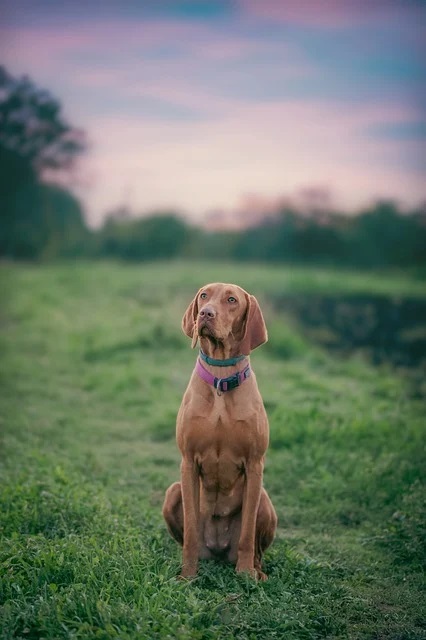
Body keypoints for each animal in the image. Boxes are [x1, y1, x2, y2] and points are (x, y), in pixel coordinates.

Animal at [162, 282, 276, 580]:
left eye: (232, 300)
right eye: (204, 295)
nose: (205, 313)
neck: (221, 379)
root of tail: (218, 550)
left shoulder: (255, 464)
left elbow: (247, 532)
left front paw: (246, 573)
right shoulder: (188, 463)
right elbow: (190, 532)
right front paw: (187, 575)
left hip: (264, 500)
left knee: (257, 548)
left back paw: (256, 570)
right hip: (172, 492)